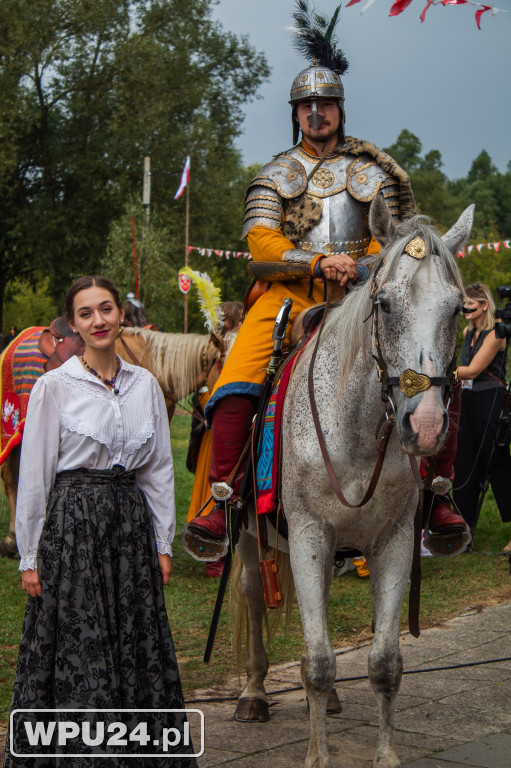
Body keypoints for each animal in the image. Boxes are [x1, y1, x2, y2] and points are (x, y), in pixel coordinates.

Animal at [234, 198, 474, 768]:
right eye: (383, 305)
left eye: (458, 309)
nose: (425, 426)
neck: (361, 429)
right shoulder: (308, 534)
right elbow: (318, 661)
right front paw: (317, 755)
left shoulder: (393, 541)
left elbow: (385, 662)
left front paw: (385, 755)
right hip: (253, 536)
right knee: (253, 595)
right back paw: (253, 693)